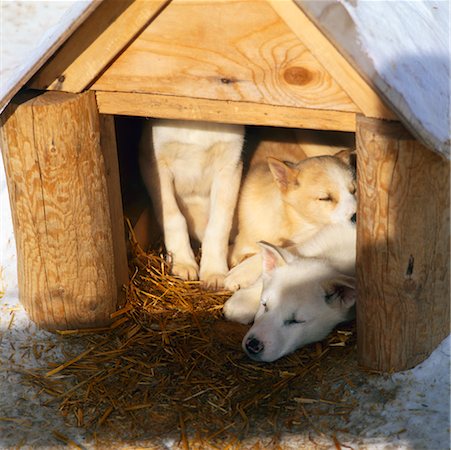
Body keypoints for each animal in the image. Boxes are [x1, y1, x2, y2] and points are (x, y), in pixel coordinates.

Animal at [140, 118, 244, 288]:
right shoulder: (156, 166)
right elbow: (173, 218)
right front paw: (183, 262)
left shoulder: (229, 168)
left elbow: (218, 226)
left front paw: (214, 271)